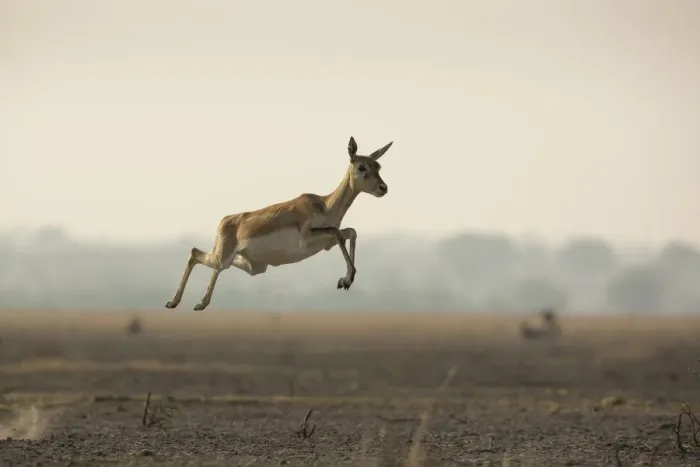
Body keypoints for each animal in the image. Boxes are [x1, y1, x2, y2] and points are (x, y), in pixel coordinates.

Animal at [165, 136, 394, 311]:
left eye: (378, 165)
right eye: (361, 166)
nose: (383, 188)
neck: (324, 205)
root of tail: (225, 220)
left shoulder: (326, 242)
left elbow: (350, 232)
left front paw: (346, 280)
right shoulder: (309, 237)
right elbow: (337, 232)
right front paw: (346, 280)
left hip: (253, 267)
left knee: (200, 256)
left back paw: (186, 303)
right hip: (223, 257)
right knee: (198, 255)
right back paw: (186, 303)